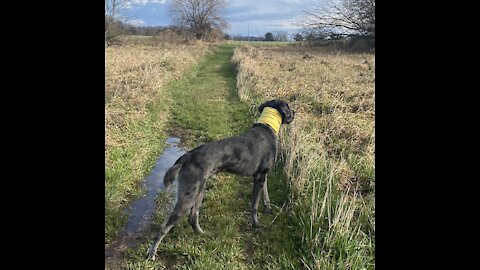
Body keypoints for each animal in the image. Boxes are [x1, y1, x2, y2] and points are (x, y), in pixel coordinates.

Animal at [148, 98, 294, 260]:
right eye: (288, 107)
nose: (294, 113)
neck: (267, 126)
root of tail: (187, 156)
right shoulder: (259, 177)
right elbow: (254, 205)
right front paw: (256, 224)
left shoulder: (263, 175)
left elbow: (266, 195)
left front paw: (268, 209)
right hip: (189, 195)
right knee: (165, 227)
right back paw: (152, 253)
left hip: (200, 189)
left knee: (193, 217)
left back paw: (202, 234)